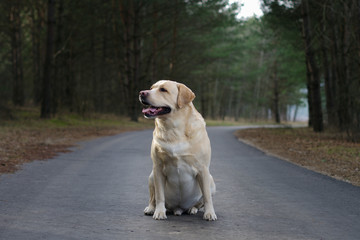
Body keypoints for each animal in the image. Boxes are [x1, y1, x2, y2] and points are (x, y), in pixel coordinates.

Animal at [139, 80, 217, 221]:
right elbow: (159, 195)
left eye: (163, 90)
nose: (142, 93)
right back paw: (151, 208)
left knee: (200, 201)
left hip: (211, 180)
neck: (173, 129)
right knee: (153, 197)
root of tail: (178, 208)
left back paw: (192, 209)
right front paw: (159, 212)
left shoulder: (203, 169)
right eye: (151, 88)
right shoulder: (158, 168)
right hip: (151, 176)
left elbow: (207, 197)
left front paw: (210, 213)